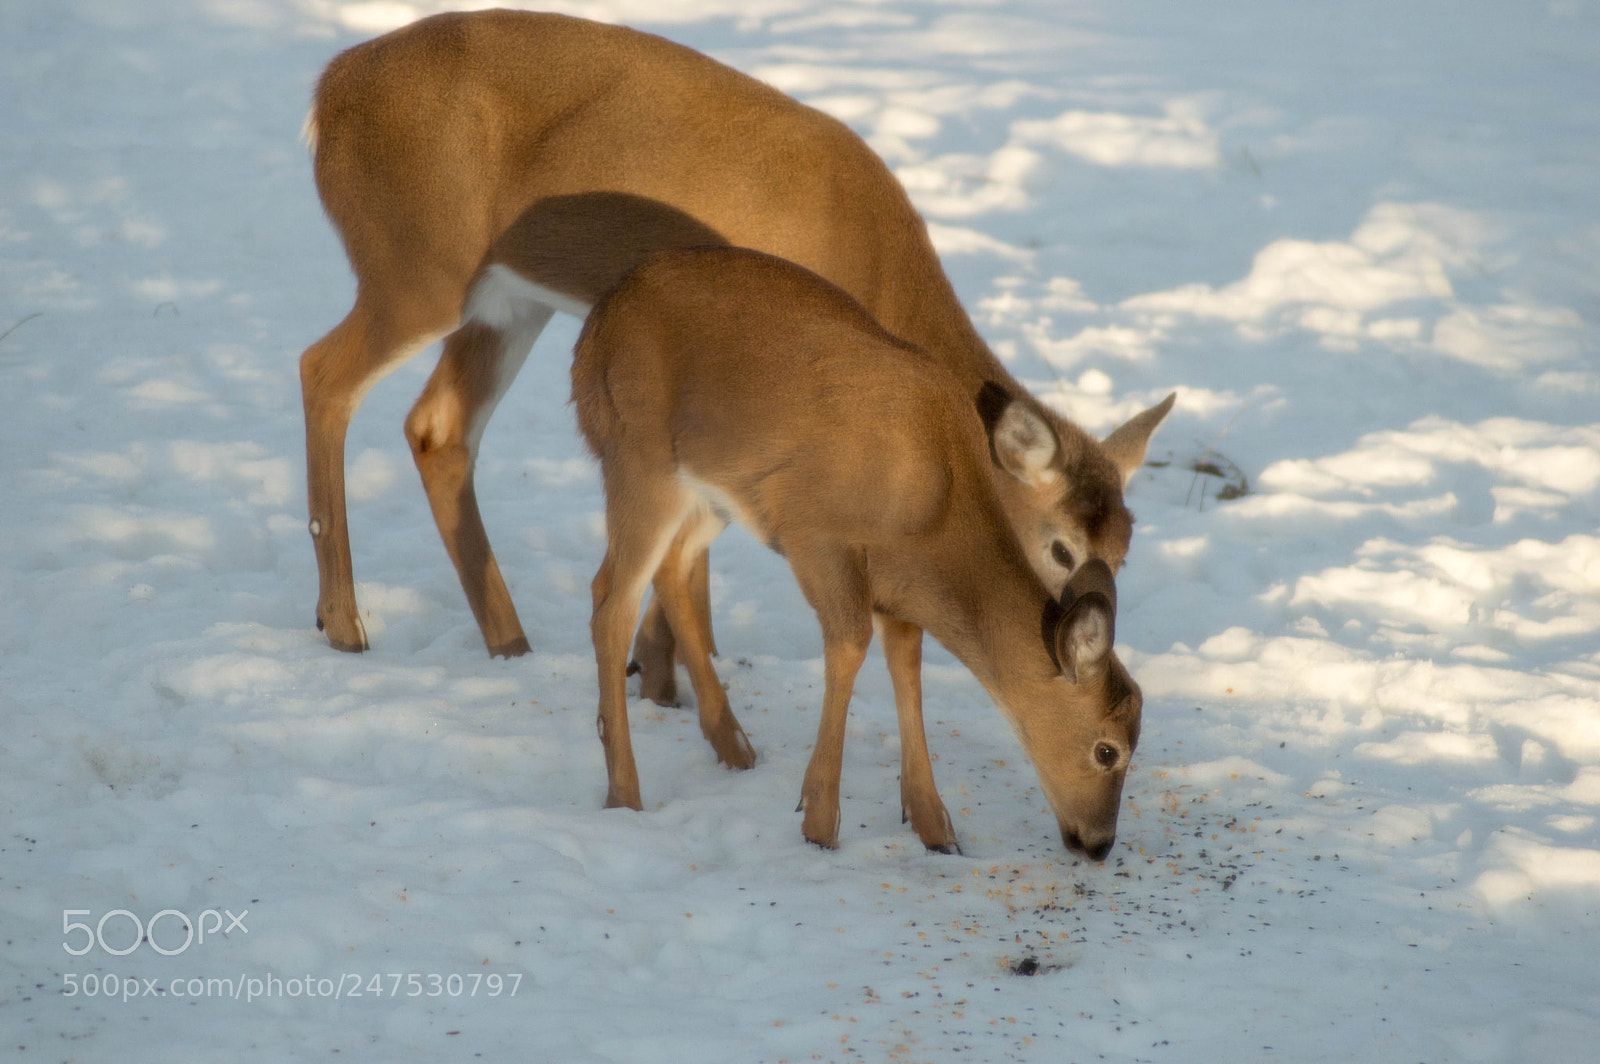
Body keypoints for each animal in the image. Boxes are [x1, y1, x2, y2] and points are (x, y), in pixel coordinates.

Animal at [300, 9, 1174, 704]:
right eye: (1060, 545)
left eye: (1126, 550)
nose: (1084, 635)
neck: (872, 265)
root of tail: (327, 96)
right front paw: (665, 679)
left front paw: (668, 669)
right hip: (418, 263)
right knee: (322, 370)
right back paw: (344, 624)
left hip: (508, 300)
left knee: (438, 426)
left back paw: (508, 645)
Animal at [573, 246, 1143, 859]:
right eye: (1107, 749)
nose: (1098, 844)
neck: (936, 504)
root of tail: (594, 331)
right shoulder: (816, 534)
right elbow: (849, 645)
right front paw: (820, 822)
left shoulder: (898, 583)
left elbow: (906, 660)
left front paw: (935, 827)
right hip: (639, 454)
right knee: (610, 601)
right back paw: (626, 794)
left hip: (712, 493)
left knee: (671, 570)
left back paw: (735, 748)